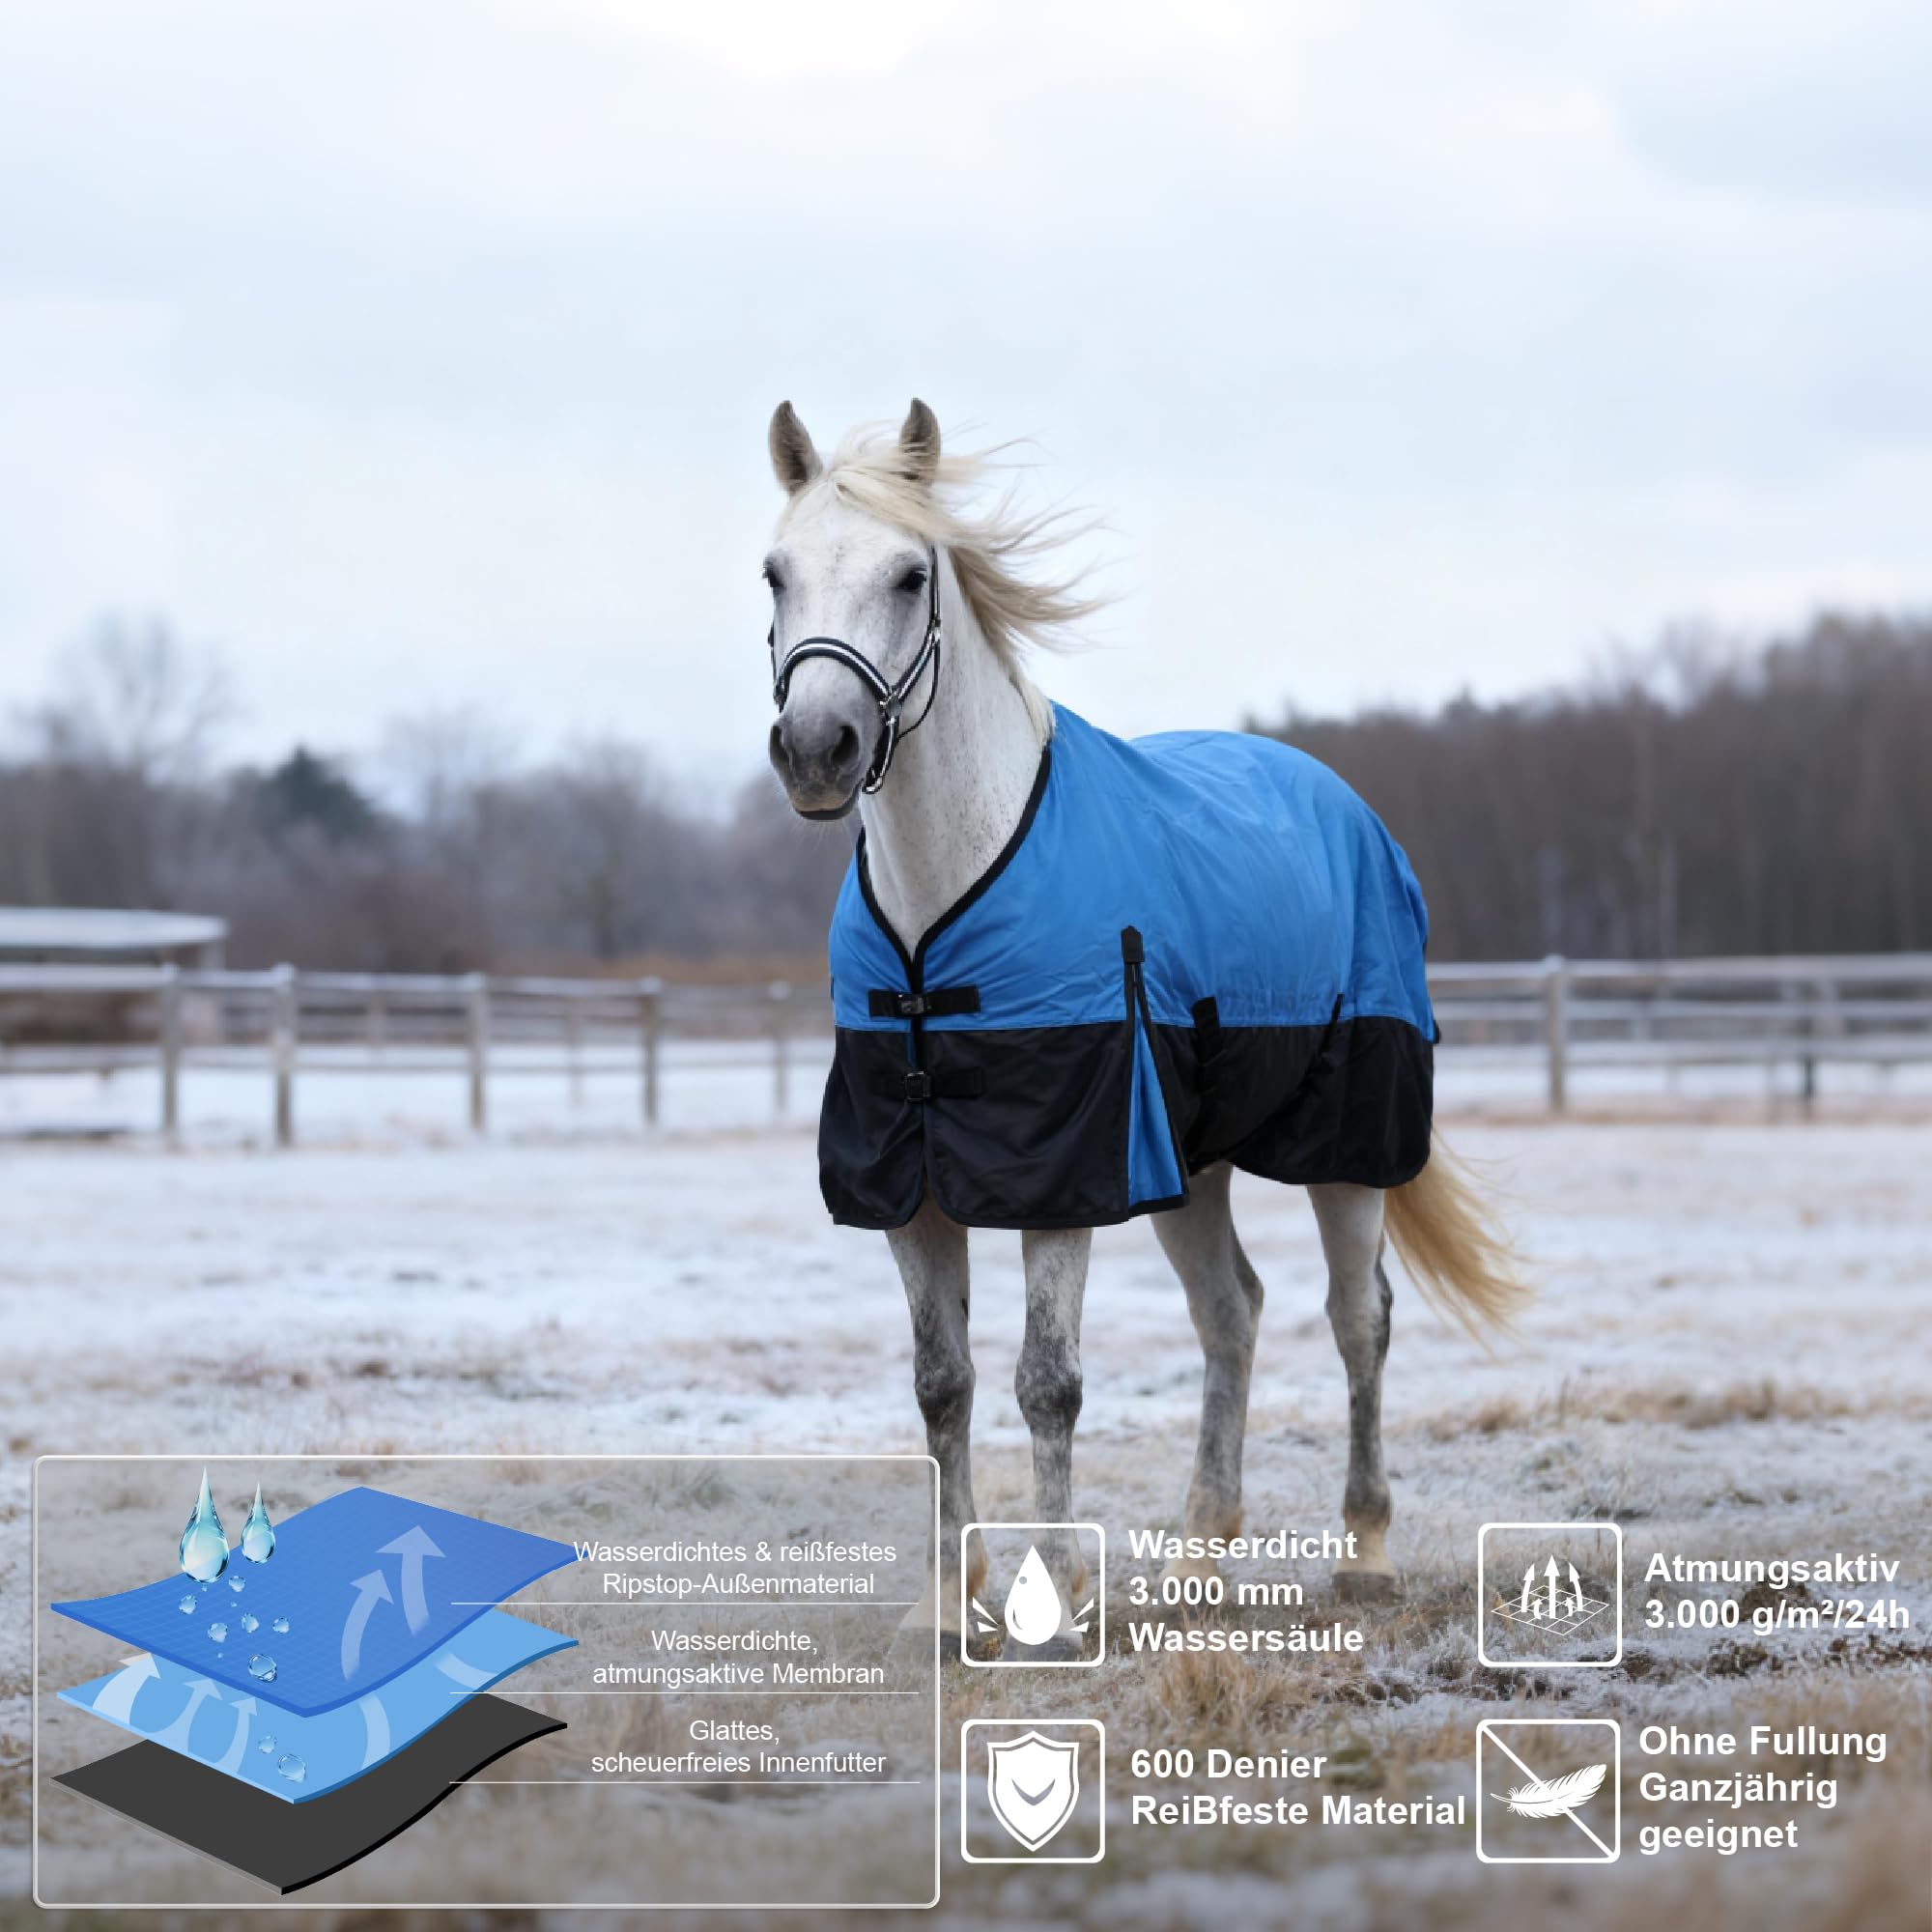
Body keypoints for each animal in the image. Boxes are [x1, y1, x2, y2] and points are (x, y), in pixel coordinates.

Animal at [761, 399, 1524, 1656]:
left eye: (910, 574)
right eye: (774, 573)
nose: (816, 750)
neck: (942, 905)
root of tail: (1341, 801)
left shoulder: (1061, 1170)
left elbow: (1046, 1380)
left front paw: (1055, 1598)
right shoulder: (911, 1183)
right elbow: (941, 1380)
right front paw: (945, 1601)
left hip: (1344, 1146)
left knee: (1354, 1318)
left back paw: (1362, 1551)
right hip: (1192, 1158)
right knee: (1231, 1313)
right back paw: (1196, 1555)